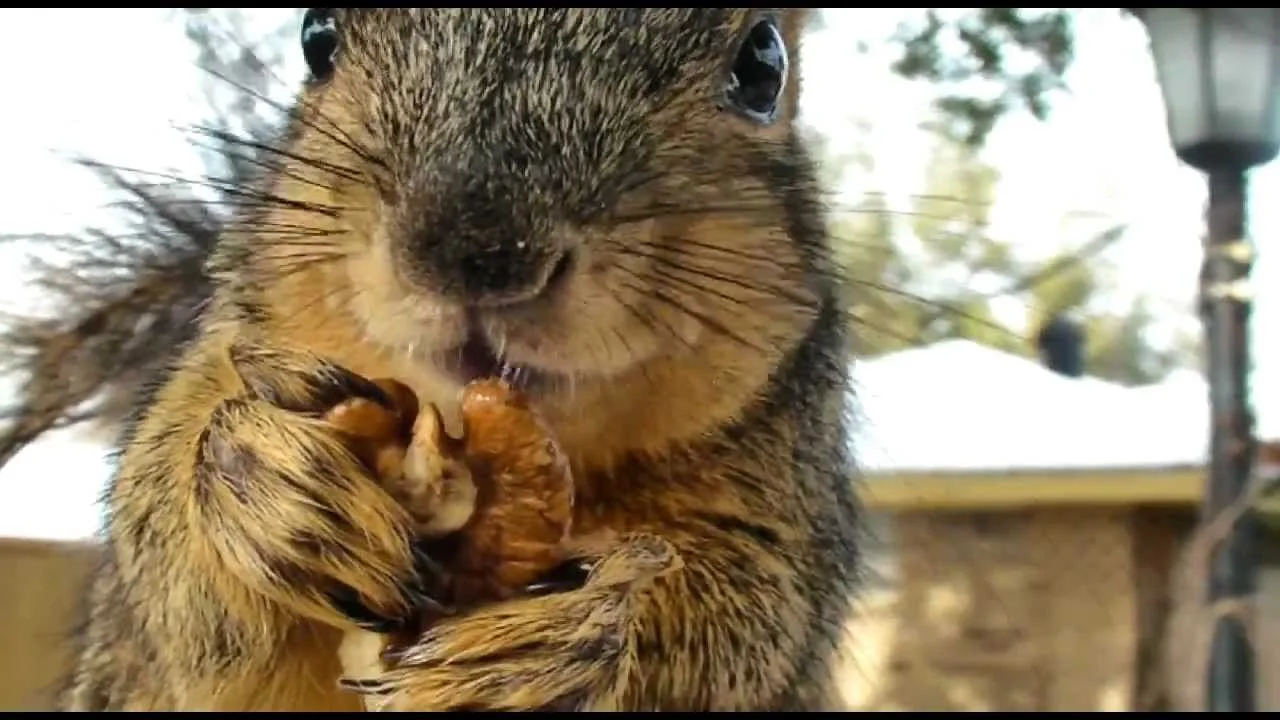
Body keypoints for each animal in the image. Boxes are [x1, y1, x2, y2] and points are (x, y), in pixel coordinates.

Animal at [47, 8, 861, 712]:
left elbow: (748, 627)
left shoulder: (778, 515)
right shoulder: (221, 363)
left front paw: (557, 647)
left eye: (763, 65)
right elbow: (166, 536)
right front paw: (268, 477)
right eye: (316, 36)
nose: (479, 251)